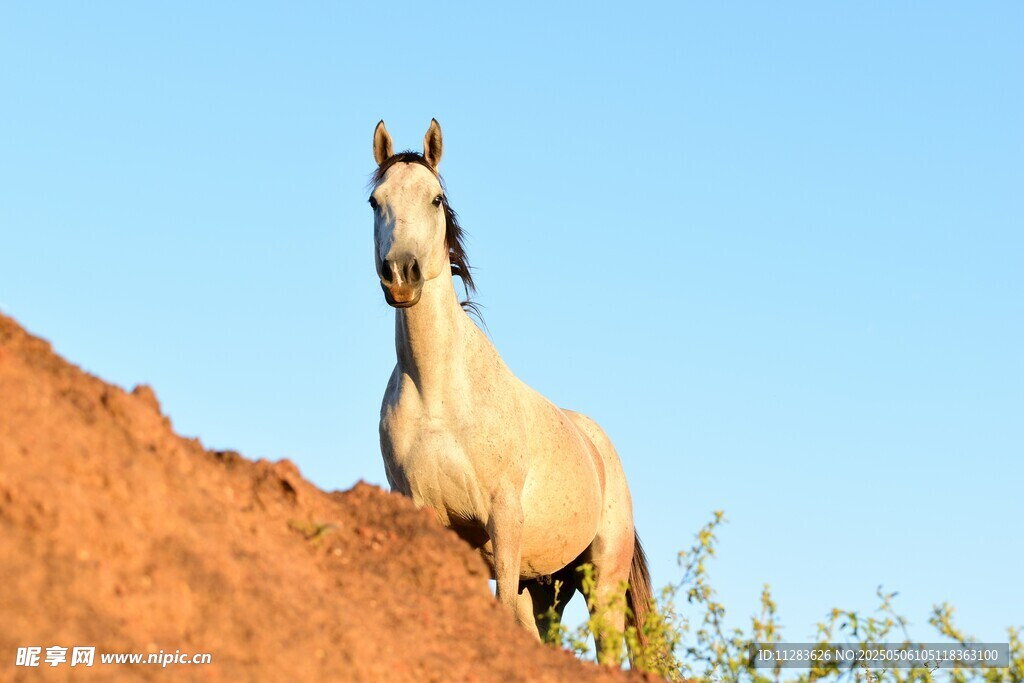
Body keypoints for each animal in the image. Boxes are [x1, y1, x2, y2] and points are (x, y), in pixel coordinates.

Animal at [369, 119, 651, 665]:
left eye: (436, 199)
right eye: (375, 200)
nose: (401, 274)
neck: (439, 395)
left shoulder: (502, 518)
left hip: (599, 578)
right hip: (543, 587)